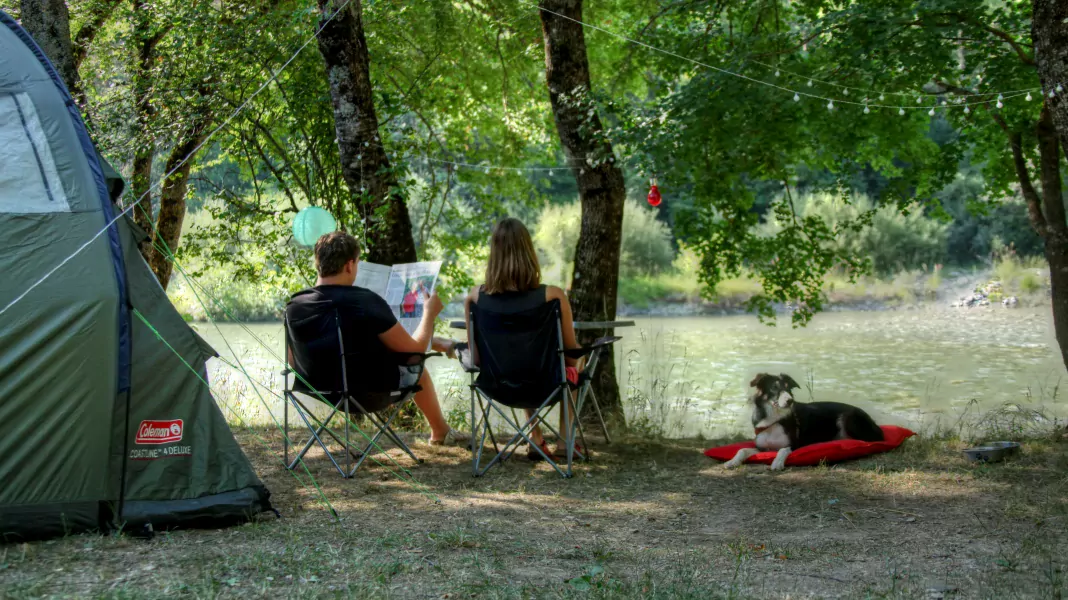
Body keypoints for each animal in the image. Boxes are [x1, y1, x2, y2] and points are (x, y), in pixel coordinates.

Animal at [726, 371, 884, 469]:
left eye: (788, 388)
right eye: (774, 388)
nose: (790, 401)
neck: (775, 419)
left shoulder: (795, 445)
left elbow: (782, 450)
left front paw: (777, 463)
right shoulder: (761, 447)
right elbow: (742, 449)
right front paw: (732, 461)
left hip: (848, 417)